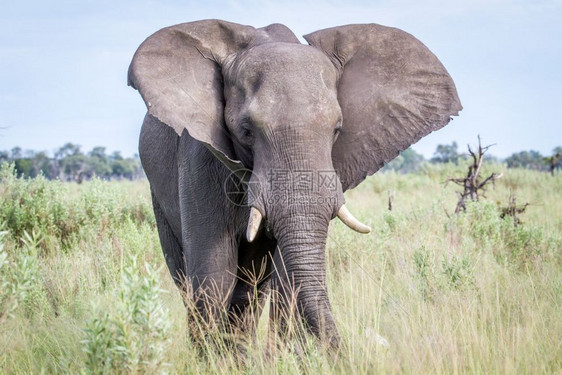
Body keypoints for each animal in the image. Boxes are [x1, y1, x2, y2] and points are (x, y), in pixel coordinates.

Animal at [127, 19, 460, 350]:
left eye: (337, 129)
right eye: (246, 130)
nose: (349, 353)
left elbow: (286, 276)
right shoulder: (200, 156)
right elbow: (213, 274)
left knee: (251, 288)